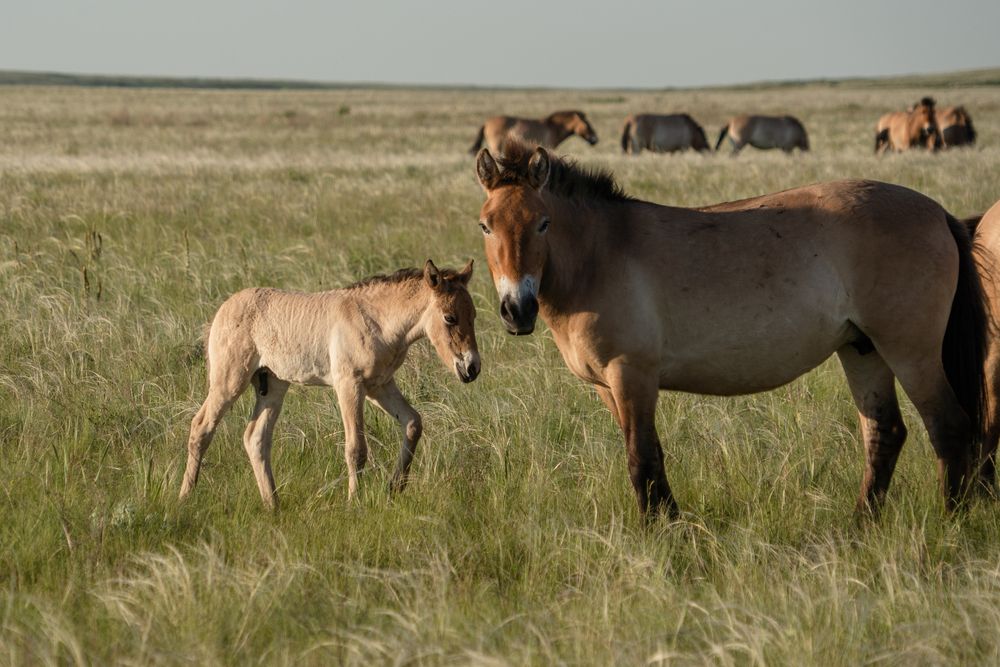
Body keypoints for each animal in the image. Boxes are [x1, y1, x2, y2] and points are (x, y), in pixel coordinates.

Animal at [179, 260, 480, 508]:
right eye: (449, 317)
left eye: (474, 315)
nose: (471, 368)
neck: (377, 321)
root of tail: (224, 308)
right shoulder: (349, 385)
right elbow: (356, 448)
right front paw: (354, 502)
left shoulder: (379, 385)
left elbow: (413, 423)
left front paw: (395, 487)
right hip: (229, 381)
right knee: (201, 427)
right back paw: (185, 497)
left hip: (273, 386)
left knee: (255, 438)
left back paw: (273, 504)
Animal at [473, 141, 988, 520]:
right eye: (485, 225)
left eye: (543, 223)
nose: (516, 310)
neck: (600, 255)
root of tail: (938, 212)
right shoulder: (610, 387)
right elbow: (650, 454)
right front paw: (672, 523)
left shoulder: (632, 376)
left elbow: (641, 459)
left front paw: (658, 534)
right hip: (864, 351)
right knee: (884, 434)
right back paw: (861, 524)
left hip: (910, 352)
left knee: (948, 427)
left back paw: (952, 522)